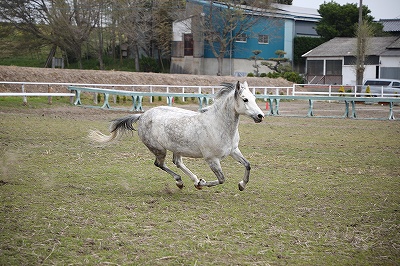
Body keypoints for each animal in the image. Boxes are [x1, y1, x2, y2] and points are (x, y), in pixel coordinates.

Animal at [90, 81, 266, 191]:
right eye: (245, 99)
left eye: (255, 98)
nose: (260, 116)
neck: (218, 125)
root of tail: (142, 115)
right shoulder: (211, 159)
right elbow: (222, 179)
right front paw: (201, 184)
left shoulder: (233, 150)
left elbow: (248, 165)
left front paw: (242, 185)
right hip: (159, 149)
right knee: (160, 164)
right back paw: (181, 181)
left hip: (177, 148)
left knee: (177, 162)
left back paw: (193, 179)